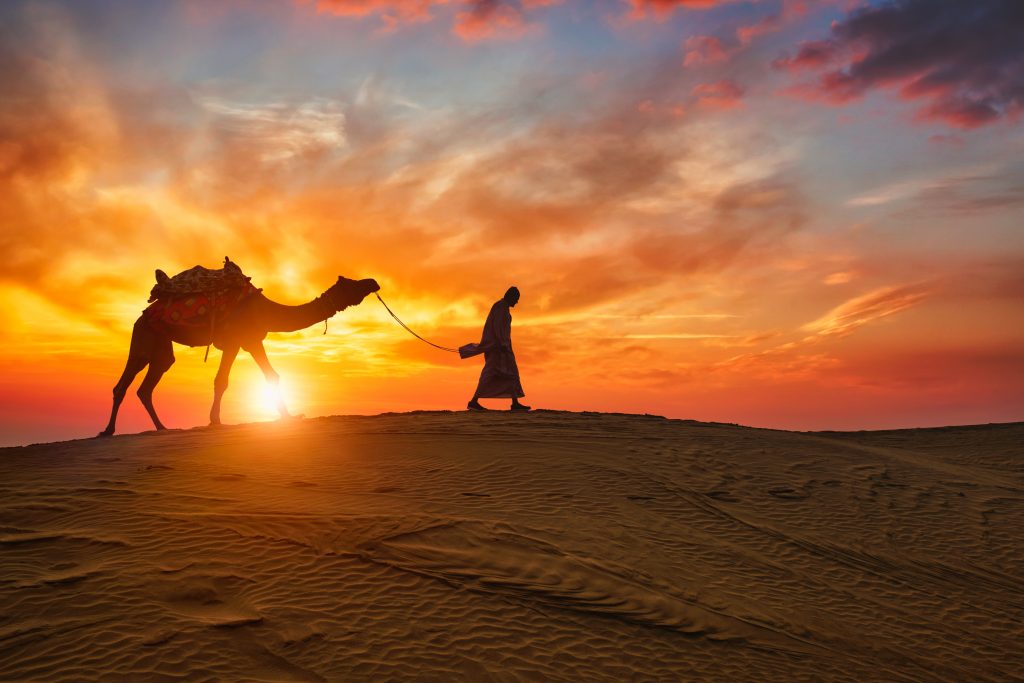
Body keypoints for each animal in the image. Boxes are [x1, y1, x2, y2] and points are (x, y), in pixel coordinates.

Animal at [98, 270, 380, 436]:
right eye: (352, 284)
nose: (373, 281)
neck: (267, 310)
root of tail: (143, 315)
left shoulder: (250, 340)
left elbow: (266, 376)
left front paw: (288, 416)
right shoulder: (239, 340)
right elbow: (226, 380)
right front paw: (216, 421)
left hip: (161, 346)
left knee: (149, 383)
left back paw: (162, 428)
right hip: (144, 336)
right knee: (125, 381)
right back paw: (108, 431)